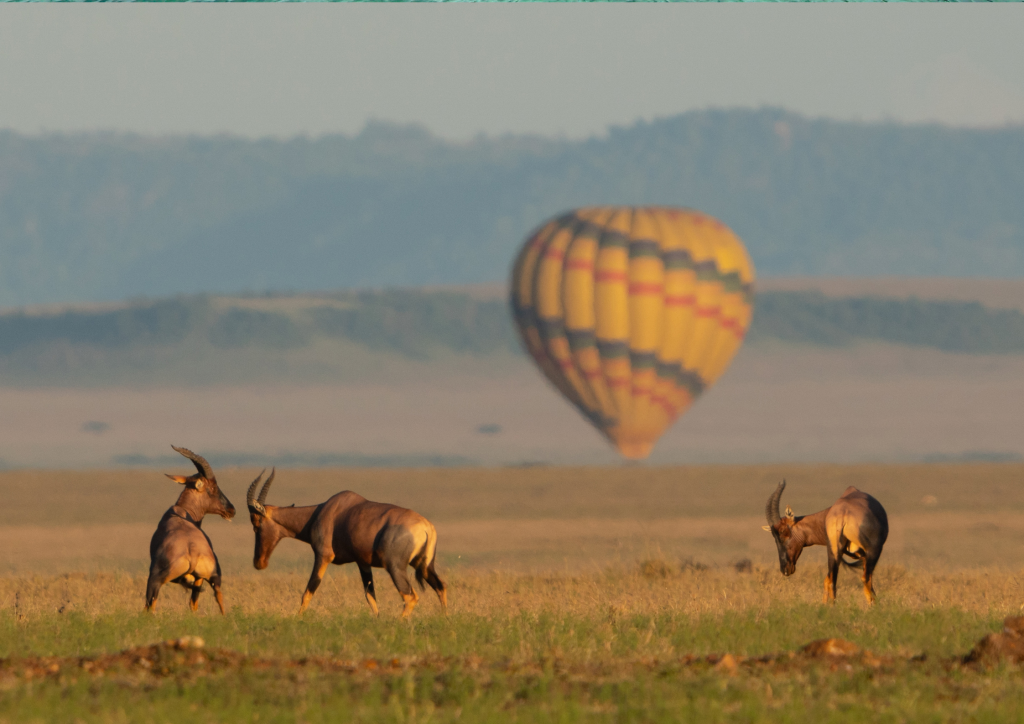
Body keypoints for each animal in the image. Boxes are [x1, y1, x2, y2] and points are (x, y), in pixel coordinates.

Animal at [144, 446, 235, 610]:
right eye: (213, 487)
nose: (231, 509)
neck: (181, 512)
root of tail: (192, 551)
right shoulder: (199, 578)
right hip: (214, 577)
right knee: (217, 598)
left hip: (154, 579)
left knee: (150, 605)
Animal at [247, 473, 448, 618]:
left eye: (256, 523)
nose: (259, 562)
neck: (324, 510)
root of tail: (427, 527)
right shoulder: (363, 563)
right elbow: (370, 596)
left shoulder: (323, 556)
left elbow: (308, 591)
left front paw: (297, 619)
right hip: (424, 566)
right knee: (441, 587)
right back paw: (444, 619)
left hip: (395, 567)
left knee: (410, 596)